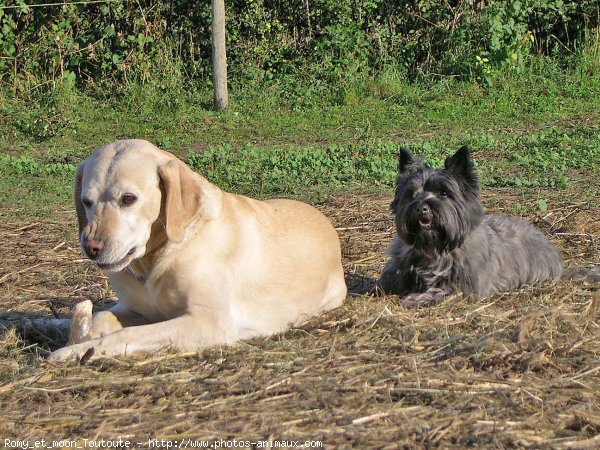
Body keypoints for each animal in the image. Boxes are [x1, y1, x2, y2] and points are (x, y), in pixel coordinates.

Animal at [50, 139, 346, 360]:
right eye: (86, 201)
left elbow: (128, 334)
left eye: (128, 199)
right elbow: (101, 316)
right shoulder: (137, 310)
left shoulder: (209, 322)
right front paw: (78, 339)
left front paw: (74, 352)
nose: (91, 247)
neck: (155, 259)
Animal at [378, 146, 564, 308]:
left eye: (443, 193)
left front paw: (417, 298)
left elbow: (441, 291)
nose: (421, 207)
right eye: (411, 194)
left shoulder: (464, 286)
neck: (435, 248)